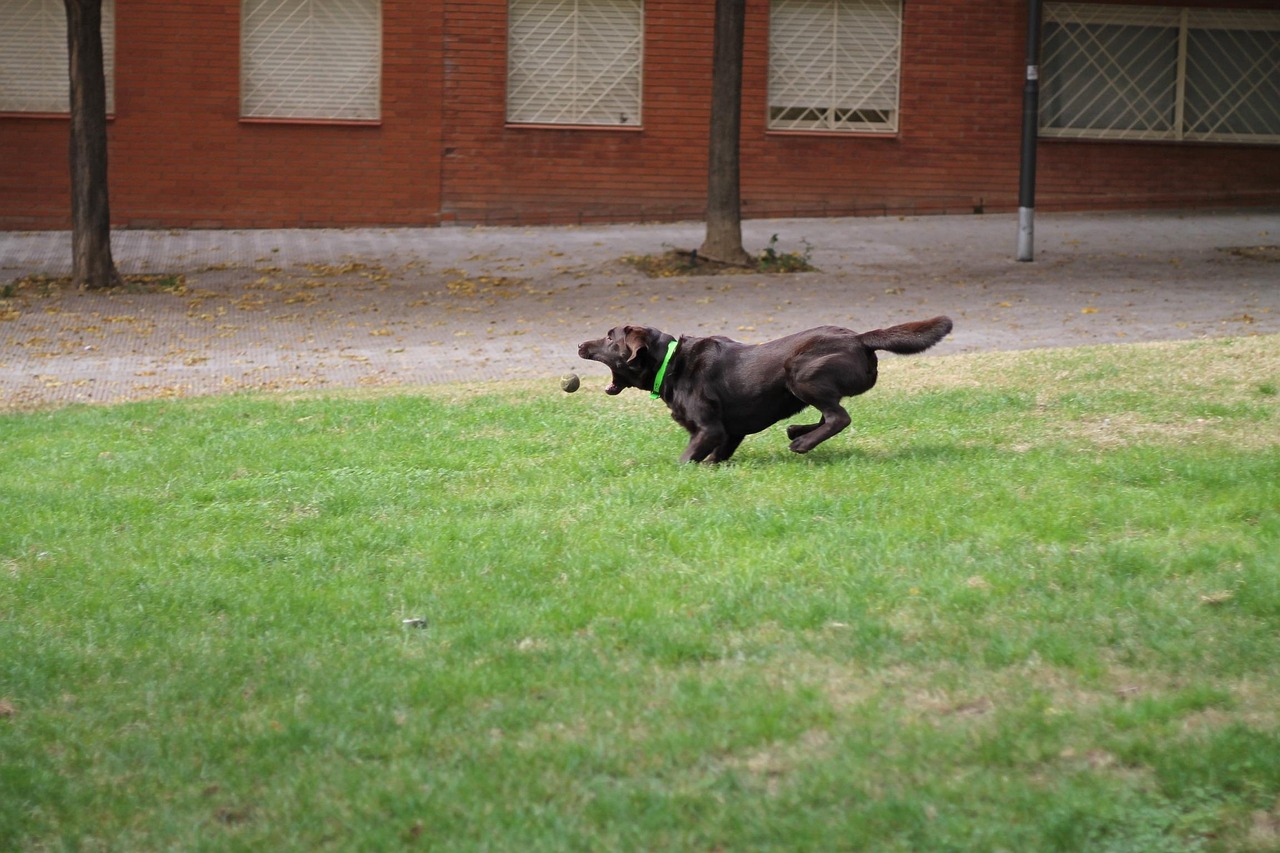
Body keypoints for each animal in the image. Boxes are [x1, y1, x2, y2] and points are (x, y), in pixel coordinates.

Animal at [578, 317, 952, 461]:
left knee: (838, 417)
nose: (580, 345)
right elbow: (716, 456)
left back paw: (802, 443)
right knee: (828, 414)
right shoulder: (729, 433)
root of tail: (860, 338)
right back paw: (797, 430)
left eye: (609, 338)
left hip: (800, 373)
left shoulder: (710, 429)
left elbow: (686, 458)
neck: (671, 362)